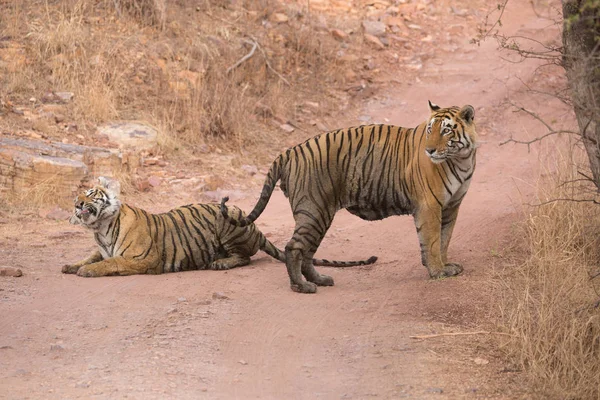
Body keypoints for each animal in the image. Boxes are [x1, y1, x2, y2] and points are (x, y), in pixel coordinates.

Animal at [62, 177, 376, 276]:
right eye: (78, 196)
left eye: (90, 194)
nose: (76, 204)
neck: (101, 229)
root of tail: (256, 230)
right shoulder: (101, 248)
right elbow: (91, 256)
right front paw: (71, 265)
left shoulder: (142, 258)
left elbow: (110, 263)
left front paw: (87, 271)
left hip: (228, 222)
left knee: (245, 257)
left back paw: (220, 263)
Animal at [220, 101, 478, 292]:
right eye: (429, 130)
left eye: (446, 130)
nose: (429, 150)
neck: (462, 159)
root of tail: (291, 150)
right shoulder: (429, 206)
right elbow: (432, 241)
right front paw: (437, 271)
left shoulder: (451, 206)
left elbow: (444, 239)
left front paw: (445, 265)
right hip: (313, 210)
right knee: (294, 247)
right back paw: (301, 287)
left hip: (320, 214)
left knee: (308, 252)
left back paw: (320, 280)